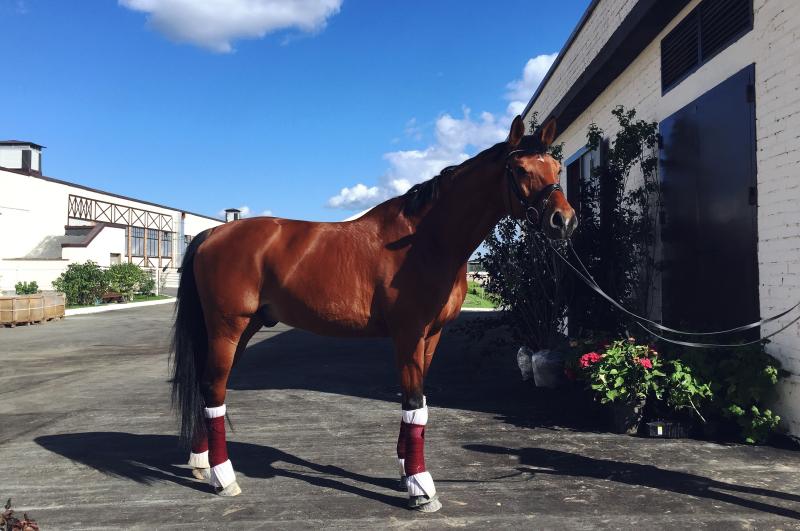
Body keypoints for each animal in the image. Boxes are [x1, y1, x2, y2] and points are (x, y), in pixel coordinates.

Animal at [170, 115, 577, 512]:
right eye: (520, 169)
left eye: (557, 167)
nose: (564, 220)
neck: (425, 240)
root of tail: (210, 235)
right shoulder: (409, 334)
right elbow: (414, 404)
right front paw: (421, 489)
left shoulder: (431, 336)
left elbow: (416, 405)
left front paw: (406, 473)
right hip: (228, 328)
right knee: (214, 389)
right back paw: (223, 478)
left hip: (240, 330)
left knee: (207, 386)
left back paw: (201, 463)